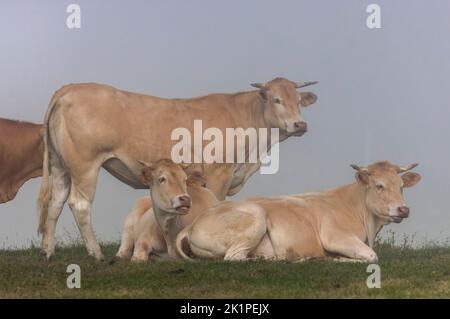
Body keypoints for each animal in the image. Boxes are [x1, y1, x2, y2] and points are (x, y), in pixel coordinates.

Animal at [177, 161, 422, 264]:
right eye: (379, 185)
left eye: (401, 186)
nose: (403, 209)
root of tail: (192, 224)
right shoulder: (335, 236)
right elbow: (372, 256)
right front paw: (335, 259)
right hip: (256, 215)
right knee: (234, 257)